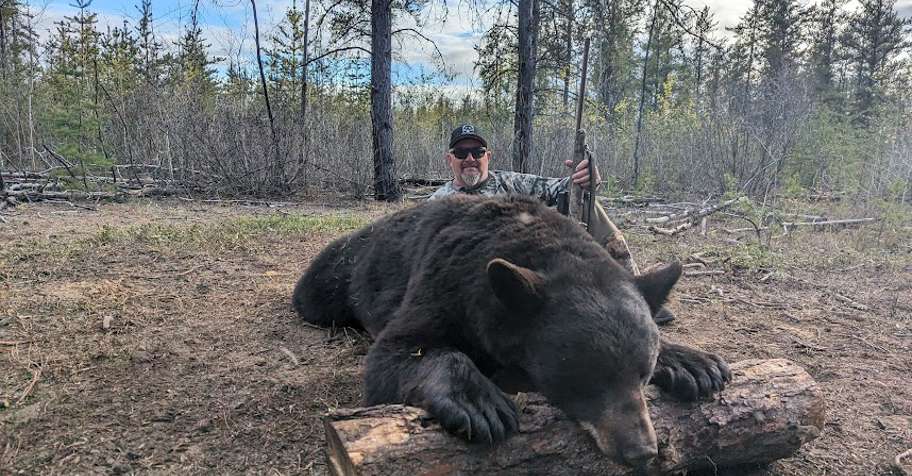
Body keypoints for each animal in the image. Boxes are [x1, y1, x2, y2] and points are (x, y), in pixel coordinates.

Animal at [292, 194, 730, 466]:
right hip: (338, 272)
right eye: (586, 377)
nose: (641, 451)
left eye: (642, 372)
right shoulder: (444, 282)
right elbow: (401, 350)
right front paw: (479, 403)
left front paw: (693, 363)